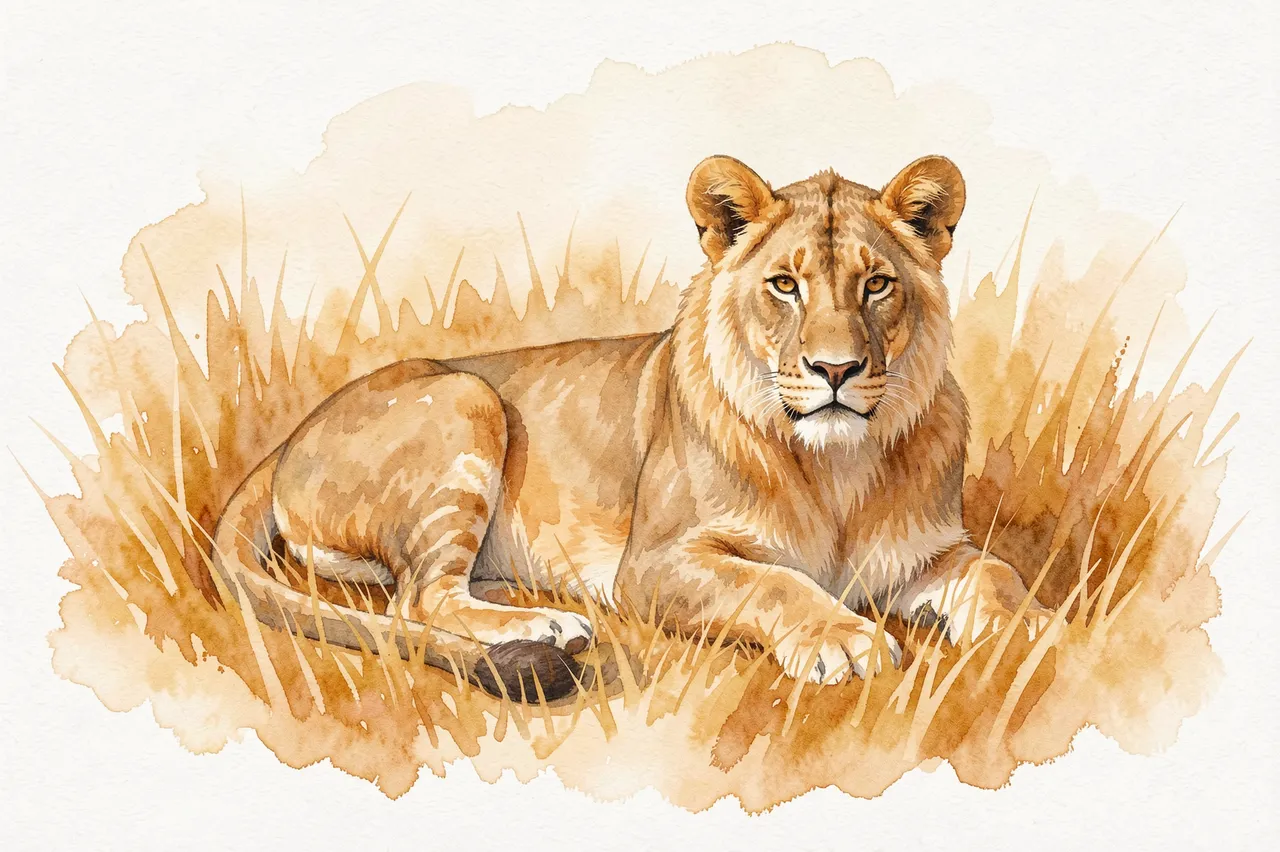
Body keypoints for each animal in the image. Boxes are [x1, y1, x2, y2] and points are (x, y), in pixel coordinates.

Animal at [213, 154, 1053, 701]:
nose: (837, 370)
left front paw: (1037, 629)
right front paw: (842, 639)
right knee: (418, 598)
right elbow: (773, 581)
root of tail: (289, 436)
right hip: (467, 397)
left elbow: (998, 573)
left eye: (877, 284)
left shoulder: (925, 555)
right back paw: (552, 626)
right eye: (785, 285)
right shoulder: (651, 567)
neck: (838, 467)